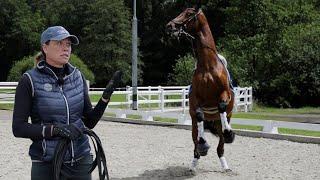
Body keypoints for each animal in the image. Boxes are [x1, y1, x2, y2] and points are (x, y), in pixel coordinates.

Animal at [166, 6, 236, 172]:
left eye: (189, 14)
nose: (170, 26)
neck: (208, 67)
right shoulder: (196, 98)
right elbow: (199, 115)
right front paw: (203, 144)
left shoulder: (224, 93)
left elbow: (221, 106)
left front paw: (229, 133)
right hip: (194, 126)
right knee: (196, 140)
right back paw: (195, 161)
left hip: (223, 120)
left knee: (221, 145)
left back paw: (225, 164)